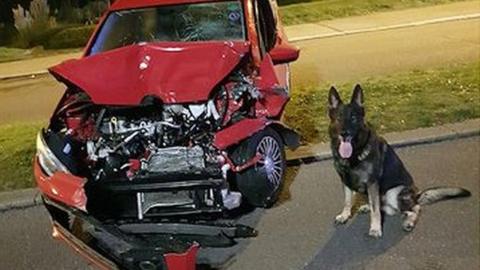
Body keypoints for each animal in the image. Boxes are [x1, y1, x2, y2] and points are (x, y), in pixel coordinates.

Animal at [328, 85, 470, 238]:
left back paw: (409, 222)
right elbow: (348, 201)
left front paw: (375, 228)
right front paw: (345, 215)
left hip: (394, 193)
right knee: (382, 205)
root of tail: (416, 194)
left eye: (353, 118)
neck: (355, 153)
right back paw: (367, 206)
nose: (344, 133)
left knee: (415, 207)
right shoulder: (345, 180)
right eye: (339, 118)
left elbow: (375, 210)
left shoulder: (372, 183)